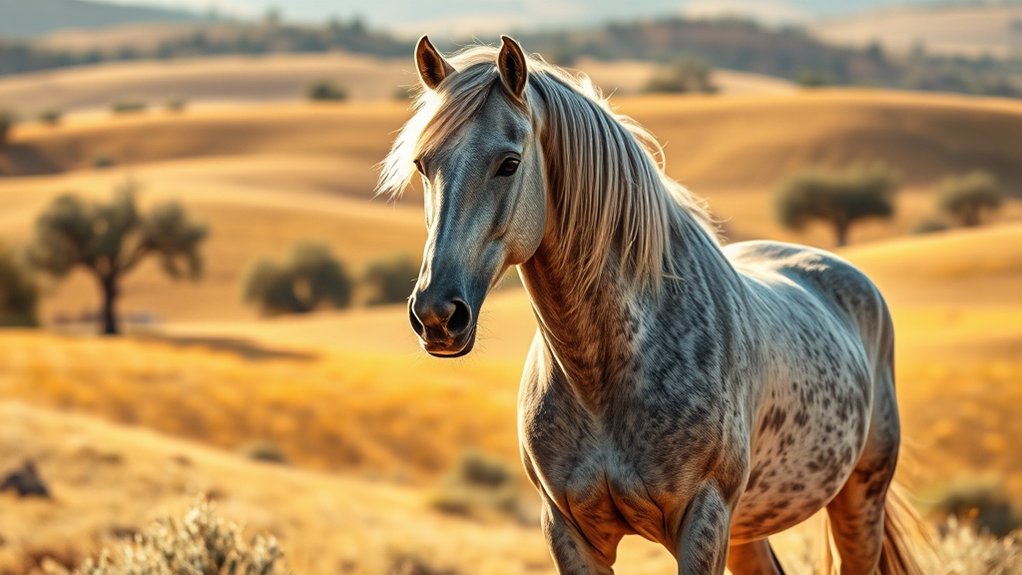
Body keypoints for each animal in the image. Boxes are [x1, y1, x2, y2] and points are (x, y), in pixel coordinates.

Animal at [379, 35, 926, 575]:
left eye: (509, 163)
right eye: (422, 164)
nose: (436, 315)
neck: (605, 375)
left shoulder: (702, 519)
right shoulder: (569, 531)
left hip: (858, 500)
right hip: (749, 529)